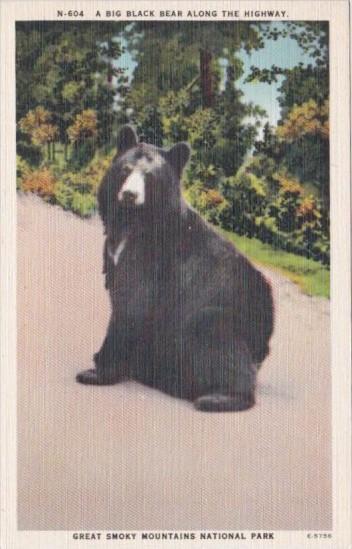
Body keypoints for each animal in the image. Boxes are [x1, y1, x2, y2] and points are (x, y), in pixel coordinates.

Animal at [77, 126, 274, 412]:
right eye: (126, 169)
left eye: (149, 176)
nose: (129, 195)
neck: (134, 221)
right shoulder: (114, 253)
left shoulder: (155, 259)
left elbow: (133, 301)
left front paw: (96, 372)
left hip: (223, 319)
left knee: (220, 342)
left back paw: (218, 397)